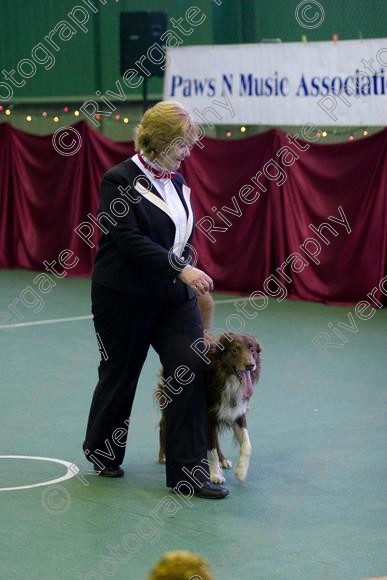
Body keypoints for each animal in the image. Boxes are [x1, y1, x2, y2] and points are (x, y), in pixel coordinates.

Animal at [156, 294, 262, 484]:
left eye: (252, 349)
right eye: (235, 350)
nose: (250, 365)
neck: (225, 377)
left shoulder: (237, 410)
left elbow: (247, 444)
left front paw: (241, 470)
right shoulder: (208, 414)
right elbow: (210, 448)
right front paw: (214, 474)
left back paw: (223, 460)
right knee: (163, 424)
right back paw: (164, 456)